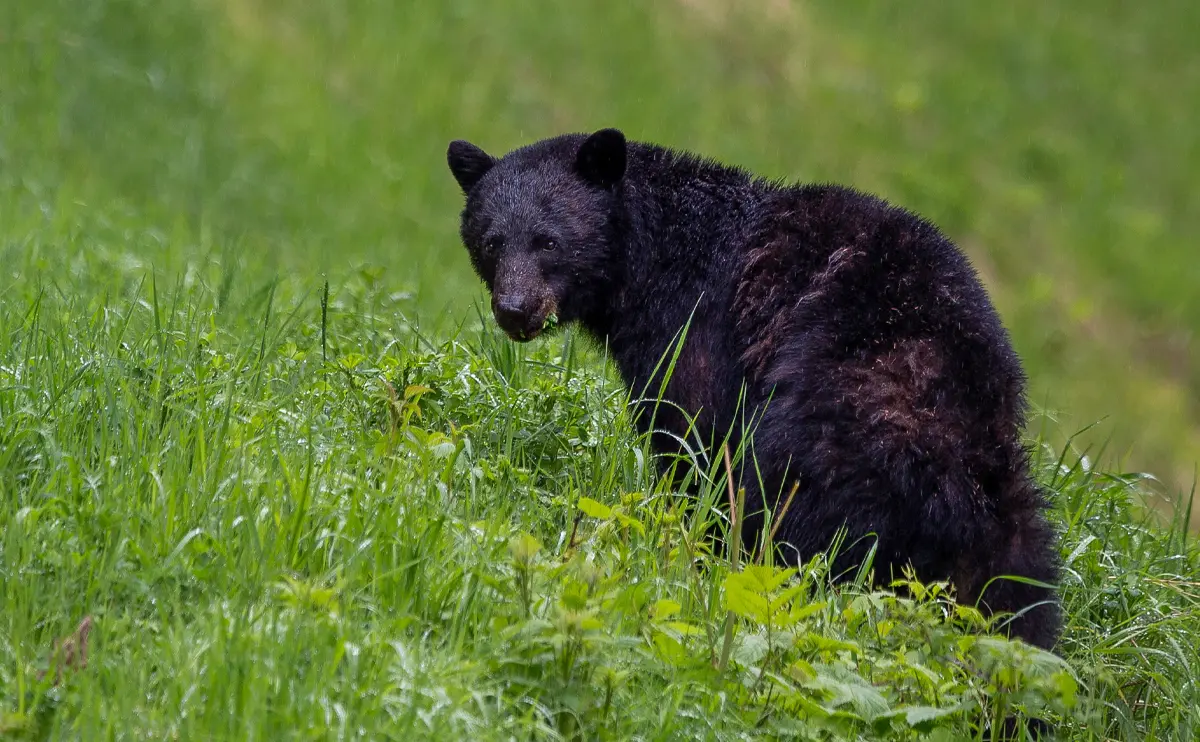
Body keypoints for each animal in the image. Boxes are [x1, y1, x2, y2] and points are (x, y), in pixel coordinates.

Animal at [448, 127, 1060, 648]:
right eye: (492, 242)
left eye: (548, 241)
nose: (515, 310)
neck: (651, 258)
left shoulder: (696, 329)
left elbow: (690, 434)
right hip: (1011, 519)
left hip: (829, 427)